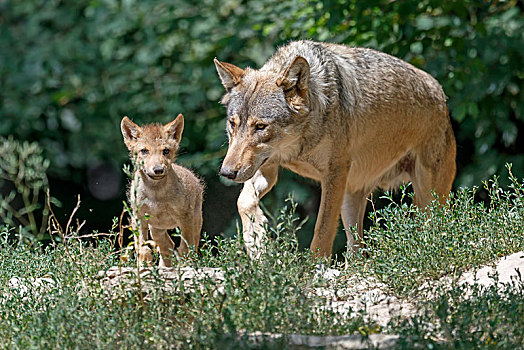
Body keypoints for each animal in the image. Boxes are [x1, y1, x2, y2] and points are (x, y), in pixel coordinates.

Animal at [213, 40, 454, 258]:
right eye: (233, 124)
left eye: (260, 126)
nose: (226, 173)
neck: (299, 146)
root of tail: (440, 94)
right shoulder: (267, 168)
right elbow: (243, 202)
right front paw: (258, 245)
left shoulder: (333, 175)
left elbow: (322, 232)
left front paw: (313, 270)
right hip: (351, 199)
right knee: (357, 253)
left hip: (428, 199)